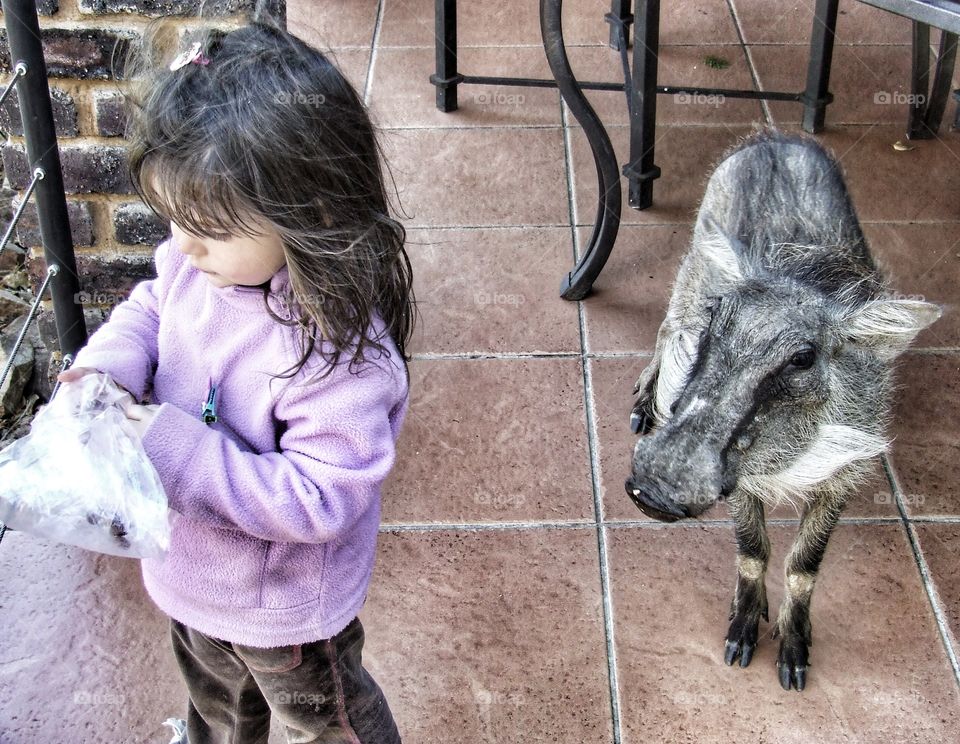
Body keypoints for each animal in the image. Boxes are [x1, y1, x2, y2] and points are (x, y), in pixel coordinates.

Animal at [624, 129, 941, 691]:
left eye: (804, 358)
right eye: (717, 318)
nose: (656, 488)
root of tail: (774, 137)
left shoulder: (843, 476)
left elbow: (802, 565)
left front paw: (793, 660)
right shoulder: (741, 480)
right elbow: (753, 552)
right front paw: (740, 642)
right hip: (692, 269)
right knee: (667, 324)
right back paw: (643, 405)